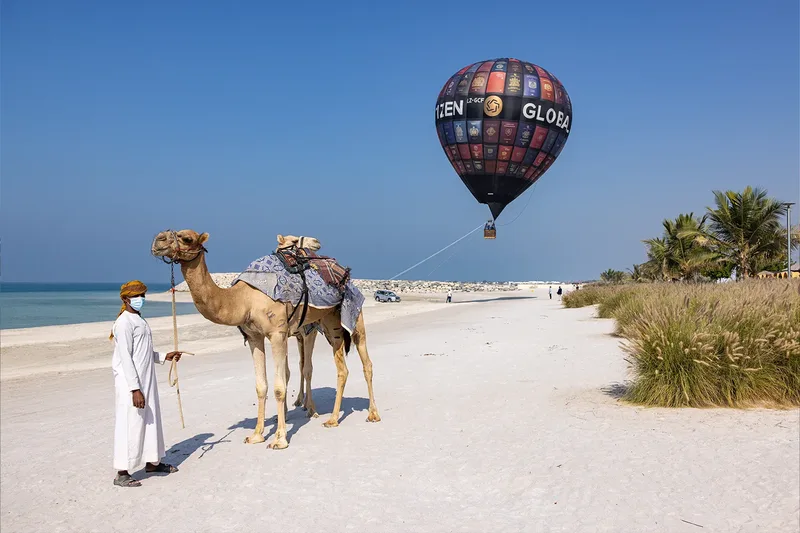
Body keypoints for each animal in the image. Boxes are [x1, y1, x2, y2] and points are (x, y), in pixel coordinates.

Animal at [151, 229, 380, 449]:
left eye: (187, 238)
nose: (158, 240)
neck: (244, 299)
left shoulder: (278, 333)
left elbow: (280, 386)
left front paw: (280, 439)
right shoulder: (255, 337)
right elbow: (261, 386)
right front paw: (256, 435)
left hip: (352, 314)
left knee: (366, 362)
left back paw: (371, 414)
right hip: (331, 323)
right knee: (341, 368)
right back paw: (332, 419)